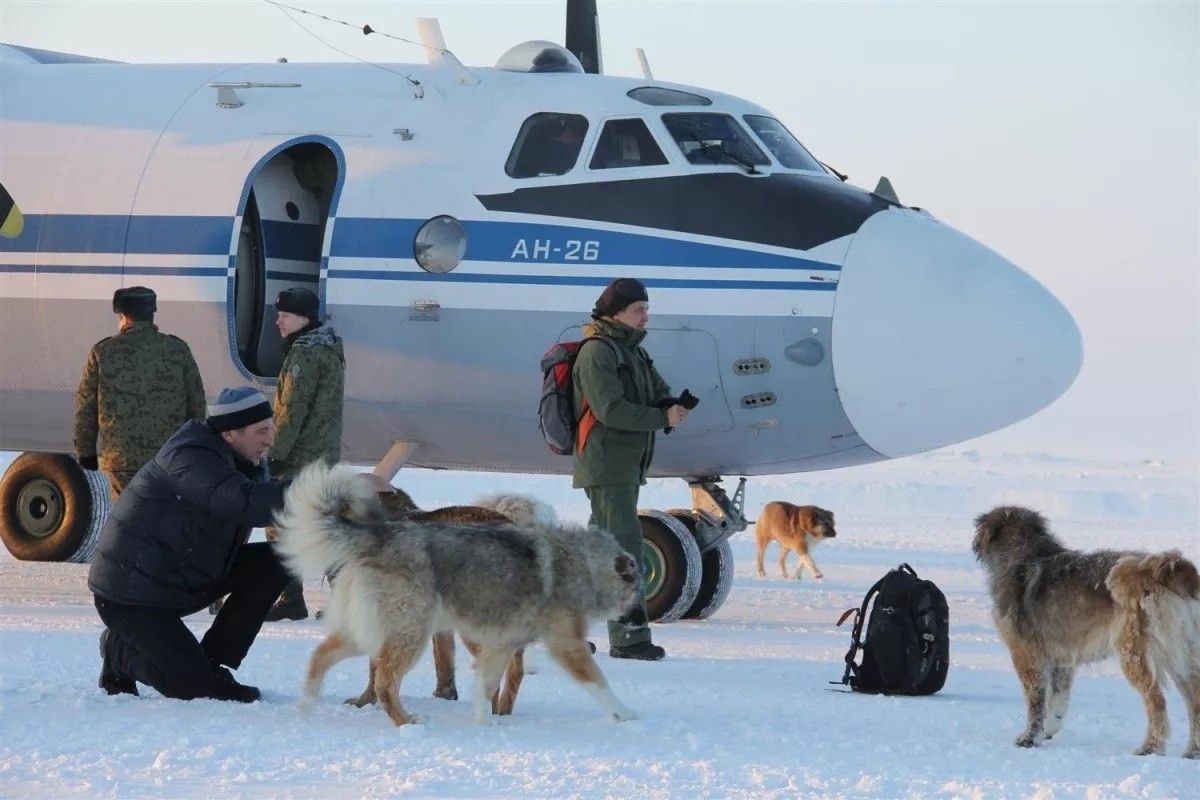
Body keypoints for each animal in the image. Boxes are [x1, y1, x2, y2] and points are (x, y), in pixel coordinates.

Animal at [274, 460, 648, 729]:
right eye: (637, 591)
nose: (640, 622)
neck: (583, 563)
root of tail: (377, 536)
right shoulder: (565, 645)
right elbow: (599, 683)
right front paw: (625, 713)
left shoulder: (500, 644)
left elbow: (486, 684)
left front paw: (482, 721)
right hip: (409, 632)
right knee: (383, 683)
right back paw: (406, 722)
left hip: (374, 631)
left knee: (321, 656)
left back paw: (306, 705)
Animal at [974, 506, 1200, 758]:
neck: (1025, 555)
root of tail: (1162, 568)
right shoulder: (1062, 662)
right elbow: (1056, 701)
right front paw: (1048, 729)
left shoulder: (1026, 657)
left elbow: (1035, 701)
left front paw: (1029, 738)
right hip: (1178, 655)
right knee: (1195, 700)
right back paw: (1192, 751)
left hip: (1134, 654)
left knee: (1157, 701)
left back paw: (1150, 747)